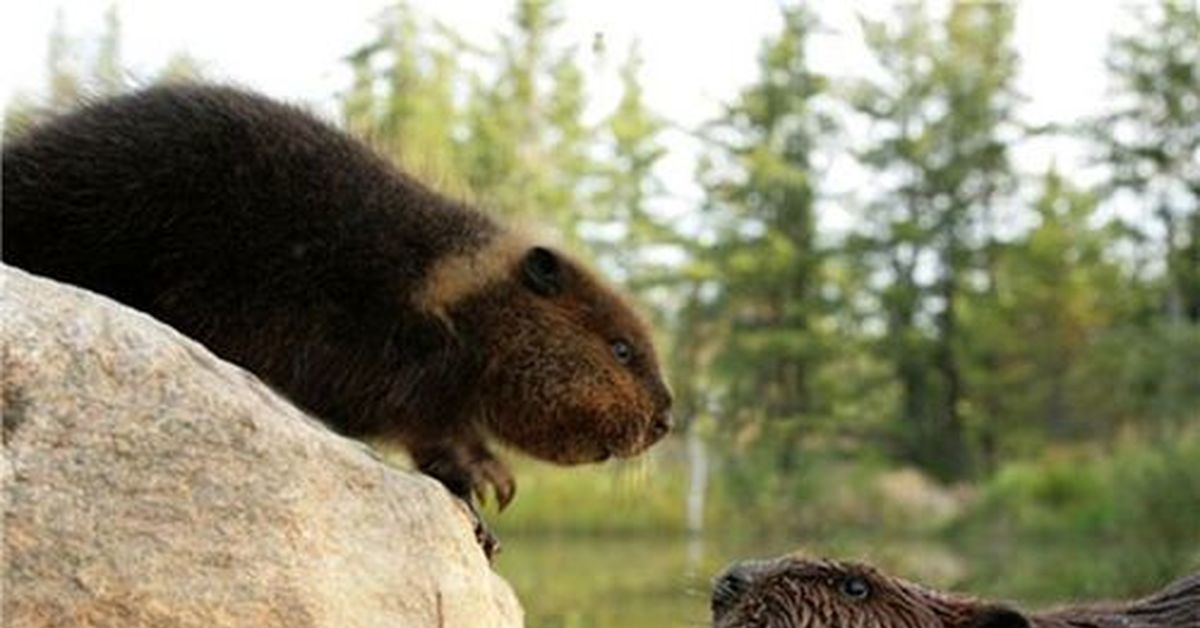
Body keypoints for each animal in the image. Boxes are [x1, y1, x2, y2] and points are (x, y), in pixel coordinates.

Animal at [2, 83, 676, 554]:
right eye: (622, 349)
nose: (666, 418)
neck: (453, 285)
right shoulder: (407, 353)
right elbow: (430, 431)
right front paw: (490, 482)